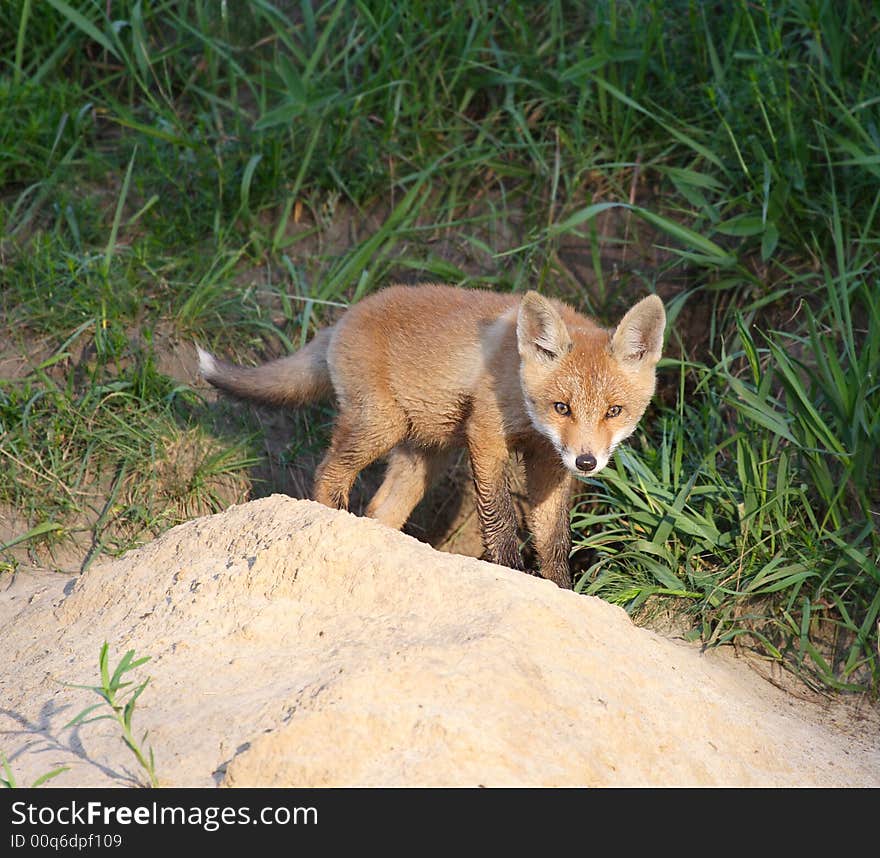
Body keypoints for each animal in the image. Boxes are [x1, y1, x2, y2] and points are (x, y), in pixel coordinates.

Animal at [199, 284, 664, 584]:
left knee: (380, 510)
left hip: (425, 457)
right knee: (328, 473)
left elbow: (552, 542)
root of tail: (345, 316)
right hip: (379, 427)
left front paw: (562, 591)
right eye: (561, 407)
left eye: (614, 411)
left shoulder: (549, 459)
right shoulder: (486, 436)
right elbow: (500, 520)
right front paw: (512, 574)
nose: (587, 462)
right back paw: (333, 521)